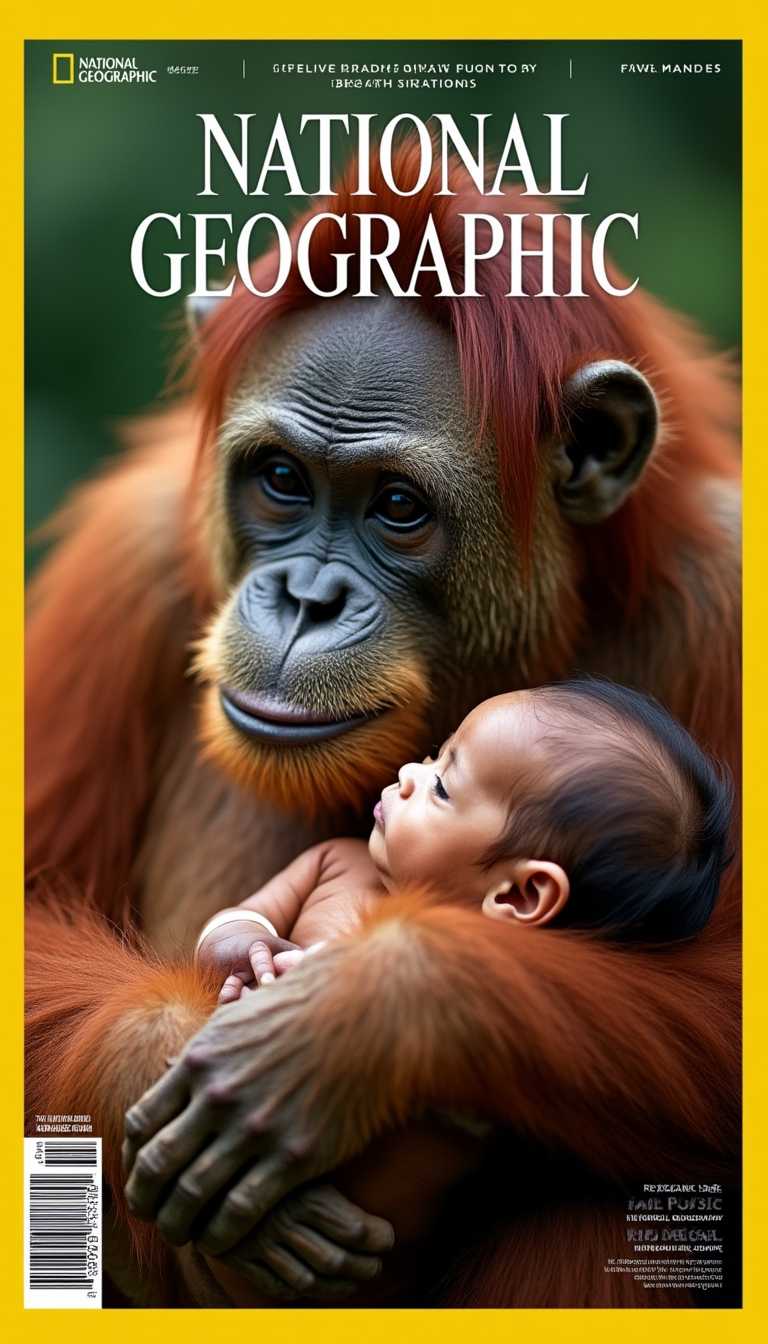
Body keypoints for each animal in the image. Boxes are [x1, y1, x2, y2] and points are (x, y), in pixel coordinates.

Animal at [26, 144, 740, 1307]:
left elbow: (723, 1006)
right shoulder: (127, 560)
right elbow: (35, 912)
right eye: (282, 479)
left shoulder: (728, 595)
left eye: (398, 506)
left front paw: (366, 1017)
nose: (306, 598)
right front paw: (160, 1048)